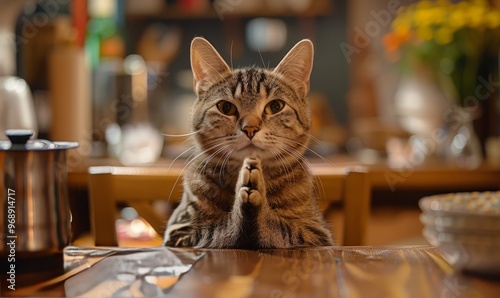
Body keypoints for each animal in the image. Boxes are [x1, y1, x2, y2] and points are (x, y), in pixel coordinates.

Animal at [166, 37, 334, 248]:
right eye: (226, 107)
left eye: (275, 106)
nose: (250, 128)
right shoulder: (180, 231)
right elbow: (217, 232)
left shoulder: (316, 233)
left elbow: (280, 229)